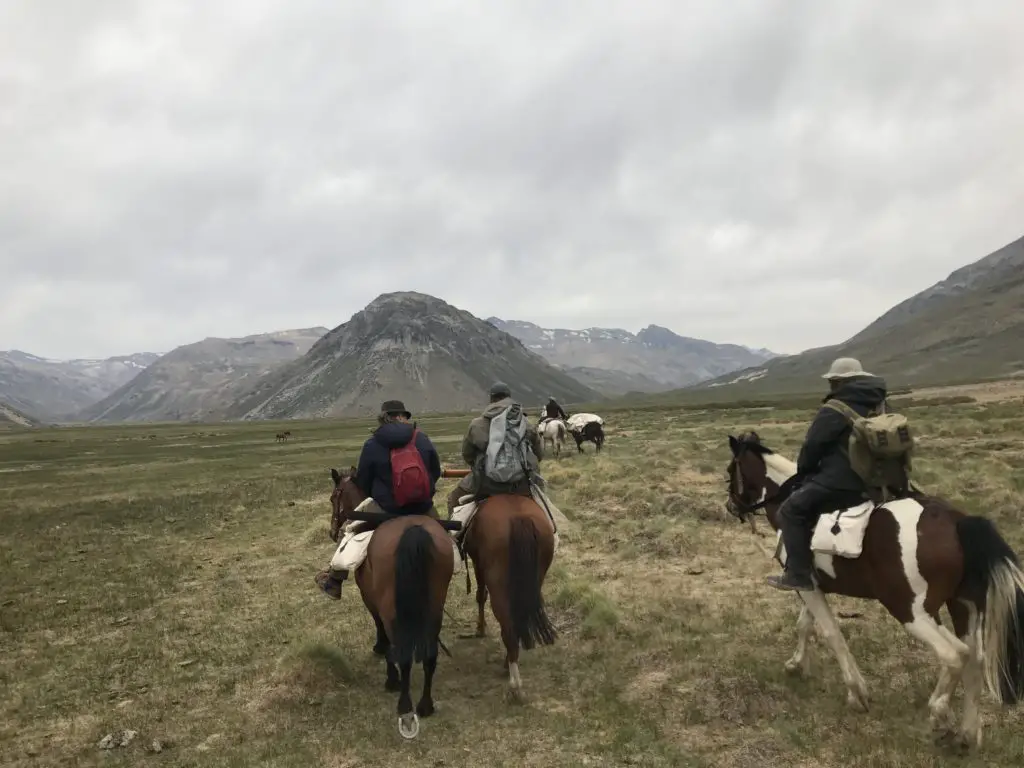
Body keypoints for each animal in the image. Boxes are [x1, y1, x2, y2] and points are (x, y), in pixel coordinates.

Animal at [329, 468, 454, 741]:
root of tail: (413, 531)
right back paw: (426, 705)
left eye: (334, 497)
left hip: (392, 610)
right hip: (435, 607)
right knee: (430, 654)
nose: (333, 532)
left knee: (403, 654)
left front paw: (390, 678)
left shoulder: (372, 601)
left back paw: (405, 706)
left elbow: (384, 638)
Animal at [450, 493, 557, 704]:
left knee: (508, 629)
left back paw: (515, 685)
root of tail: (519, 519)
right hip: (534, 579)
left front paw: (480, 629)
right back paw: (509, 666)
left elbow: (480, 595)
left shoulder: (478, 565)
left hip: (498, 585)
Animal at [724, 434, 1024, 753]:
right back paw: (968, 733)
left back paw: (938, 714)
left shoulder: (806, 585)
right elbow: (805, 625)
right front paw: (796, 665)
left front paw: (857, 693)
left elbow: (831, 634)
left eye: (732, 470)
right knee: (975, 660)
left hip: (910, 610)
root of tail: (956, 521)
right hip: (963, 608)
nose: (730, 506)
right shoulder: (811, 585)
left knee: (954, 654)